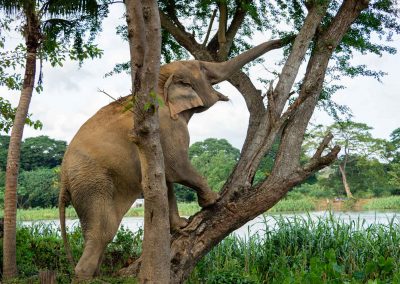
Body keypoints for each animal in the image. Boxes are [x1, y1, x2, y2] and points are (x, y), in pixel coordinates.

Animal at [59, 39, 280, 280]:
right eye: (203, 69)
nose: (282, 41)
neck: (161, 82)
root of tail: (63, 177)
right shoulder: (167, 127)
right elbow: (177, 167)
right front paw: (214, 200)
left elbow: (167, 179)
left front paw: (181, 225)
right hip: (93, 182)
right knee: (103, 231)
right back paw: (86, 276)